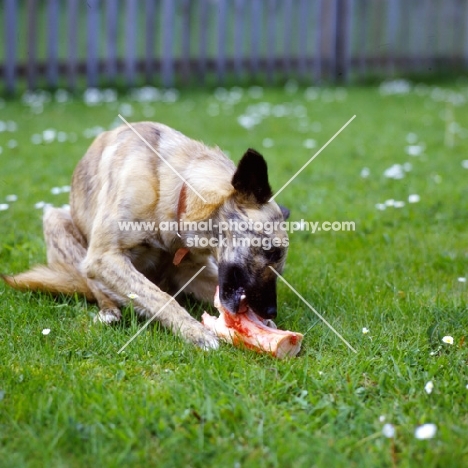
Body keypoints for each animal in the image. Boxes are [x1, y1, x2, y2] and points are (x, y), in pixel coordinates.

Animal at [2, 122, 288, 350]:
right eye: (270, 251)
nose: (271, 311)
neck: (175, 195)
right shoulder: (104, 258)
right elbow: (160, 298)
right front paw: (194, 332)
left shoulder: (189, 271)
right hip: (56, 220)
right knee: (93, 285)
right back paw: (109, 310)